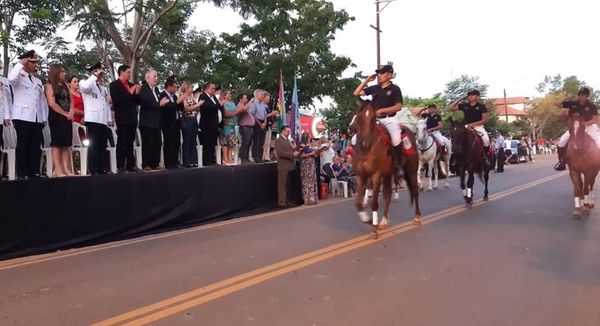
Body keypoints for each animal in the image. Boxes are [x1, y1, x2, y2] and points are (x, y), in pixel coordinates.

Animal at [350, 100, 420, 238]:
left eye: (373, 118)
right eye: (359, 117)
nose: (365, 143)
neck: (366, 150)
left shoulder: (375, 175)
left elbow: (374, 203)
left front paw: (374, 228)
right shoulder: (360, 176)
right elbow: (358, 204)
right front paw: (368, 219)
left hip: (411, 170)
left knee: (415, 190)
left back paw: (417, 217)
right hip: (388, 174)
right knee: (388, 195)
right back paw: (384, 220)